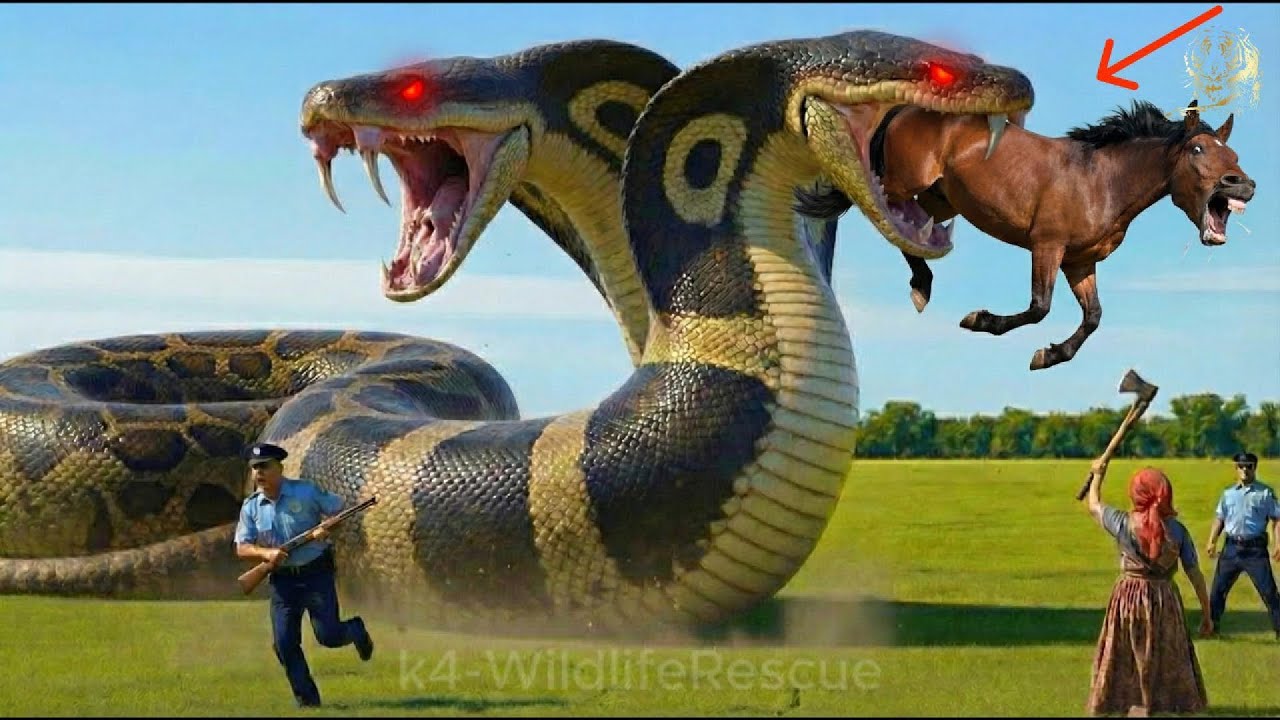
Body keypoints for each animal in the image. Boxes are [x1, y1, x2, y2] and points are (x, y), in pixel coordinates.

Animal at [873, 98, 1255, 370]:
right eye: (1197, 149)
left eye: (1234, 153)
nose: (1244, 185)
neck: (1102, 181)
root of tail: (907, 108)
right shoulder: (1047, 246)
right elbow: (1039, 306)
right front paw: (980, 320)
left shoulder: (1079, 262)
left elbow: (1093, 316)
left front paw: (1051, 354)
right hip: (906, 185)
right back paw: (920, 286)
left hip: (939, 200)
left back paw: (922, 286)